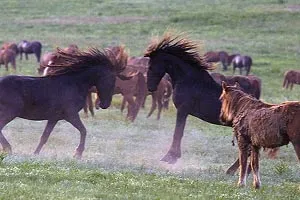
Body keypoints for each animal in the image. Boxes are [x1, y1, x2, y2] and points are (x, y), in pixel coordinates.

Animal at [144, 32, 243, 169]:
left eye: (151, 66)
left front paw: (170, 157)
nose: (150, 87)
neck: (190, 81)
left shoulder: (182, 110)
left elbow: (178, 133)